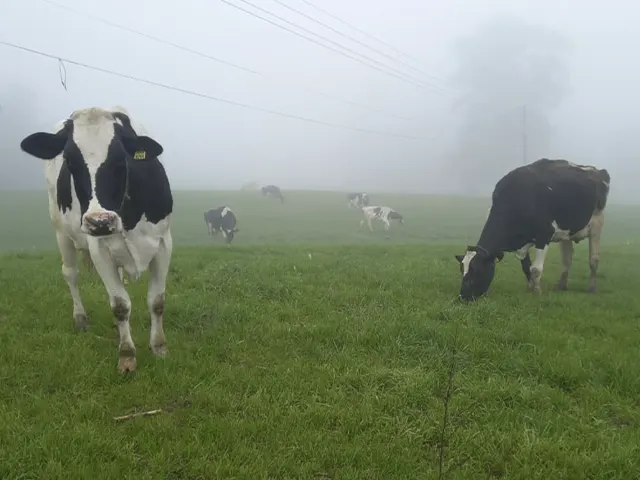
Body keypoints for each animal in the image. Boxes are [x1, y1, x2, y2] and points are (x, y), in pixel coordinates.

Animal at [19, 106, 173, 373]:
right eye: (69, 161)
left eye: (121, 159)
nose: (100, 221)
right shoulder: (99, 248)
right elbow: (120, 305)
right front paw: (127, 354)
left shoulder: (164, 242)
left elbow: (157, 301)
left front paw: (159, 347)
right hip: (61, 232)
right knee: (70, 274)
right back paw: (80, 318)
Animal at [455, 158, 610, 302]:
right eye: (462, 270)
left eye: (478, 270)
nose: (463, 296)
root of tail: (596, 170)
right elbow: (526, 267)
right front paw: (529, 288)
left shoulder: (544, 235)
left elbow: (535, 269)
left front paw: (536, 291)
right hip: (566, 231)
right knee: (567, 259)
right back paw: (561, 285)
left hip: (597, 225)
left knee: (594, 260)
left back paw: (592, 288)